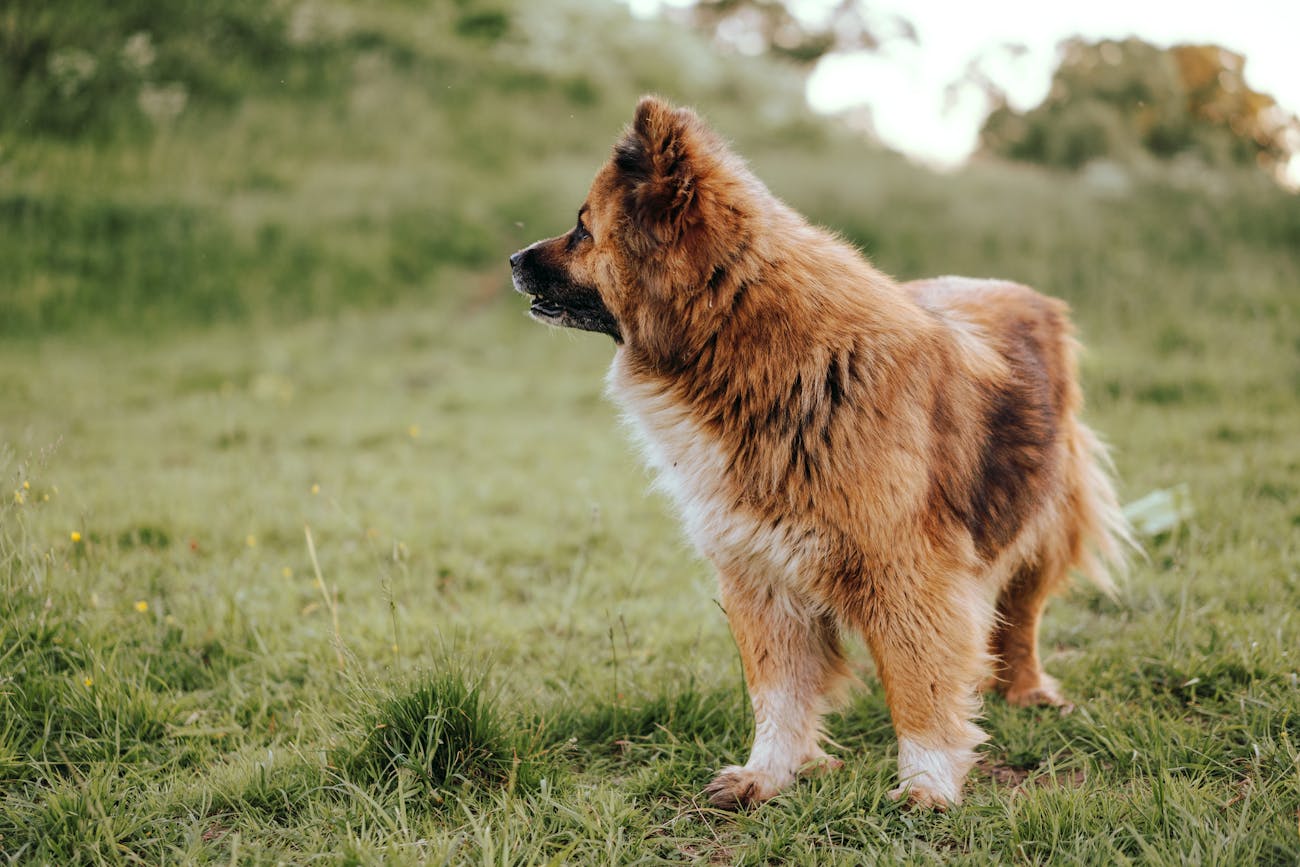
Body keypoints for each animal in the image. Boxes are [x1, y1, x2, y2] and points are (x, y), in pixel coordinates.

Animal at [506, 98, 1128, 811]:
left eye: (584, 229)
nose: (513, 259)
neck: (765, 360)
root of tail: (1030, 294)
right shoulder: (759, 571)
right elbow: (776, 692)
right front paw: (769, 775)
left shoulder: (906, 574)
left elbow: (918, 689)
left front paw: (926, 786)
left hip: (1040, 522)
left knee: (1020, 617)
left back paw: (1025, 692)